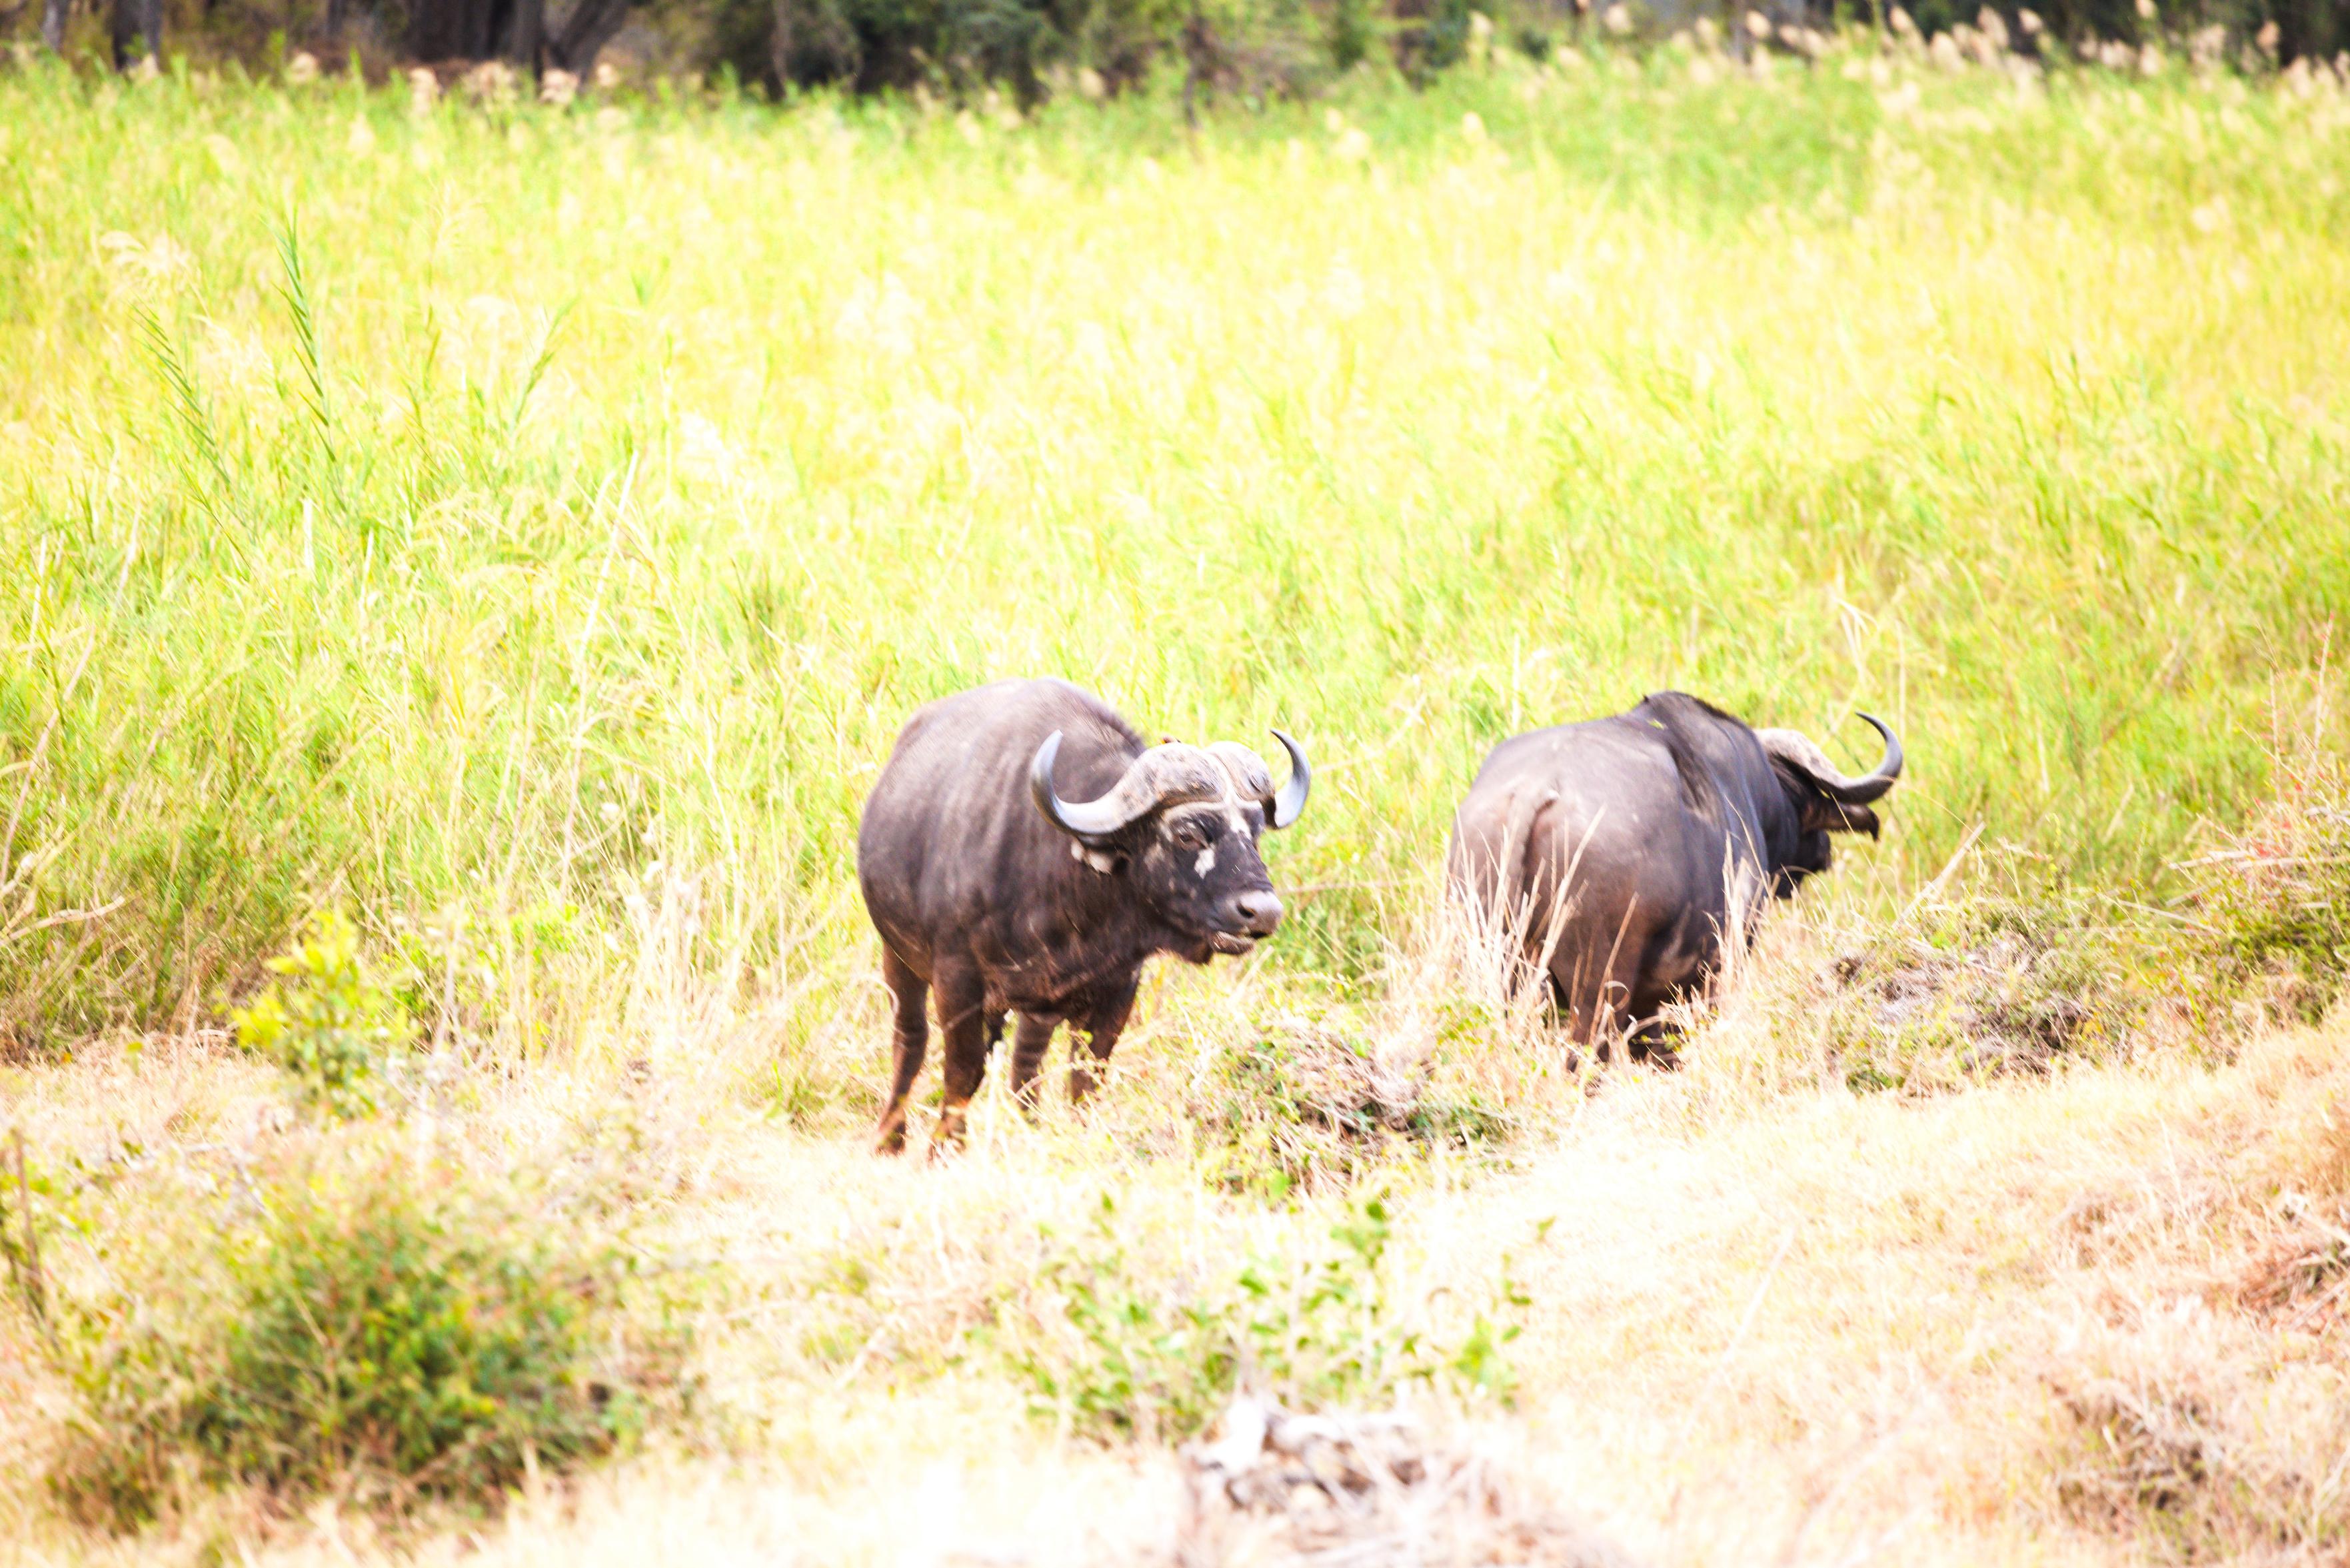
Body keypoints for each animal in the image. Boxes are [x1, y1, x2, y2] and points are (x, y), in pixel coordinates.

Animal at [857, 678, 1310, 1154]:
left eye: (1256, 832)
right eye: (1187, 833)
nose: (1262, 912)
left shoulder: (1117, 989)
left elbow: (1087, 1078)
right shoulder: (957, 979)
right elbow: (964, 1070)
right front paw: (945, 1149)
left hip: (1036, 1007)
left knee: (1026, 1063)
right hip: (899, 957)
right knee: (910, 1038)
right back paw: (890, 1138)